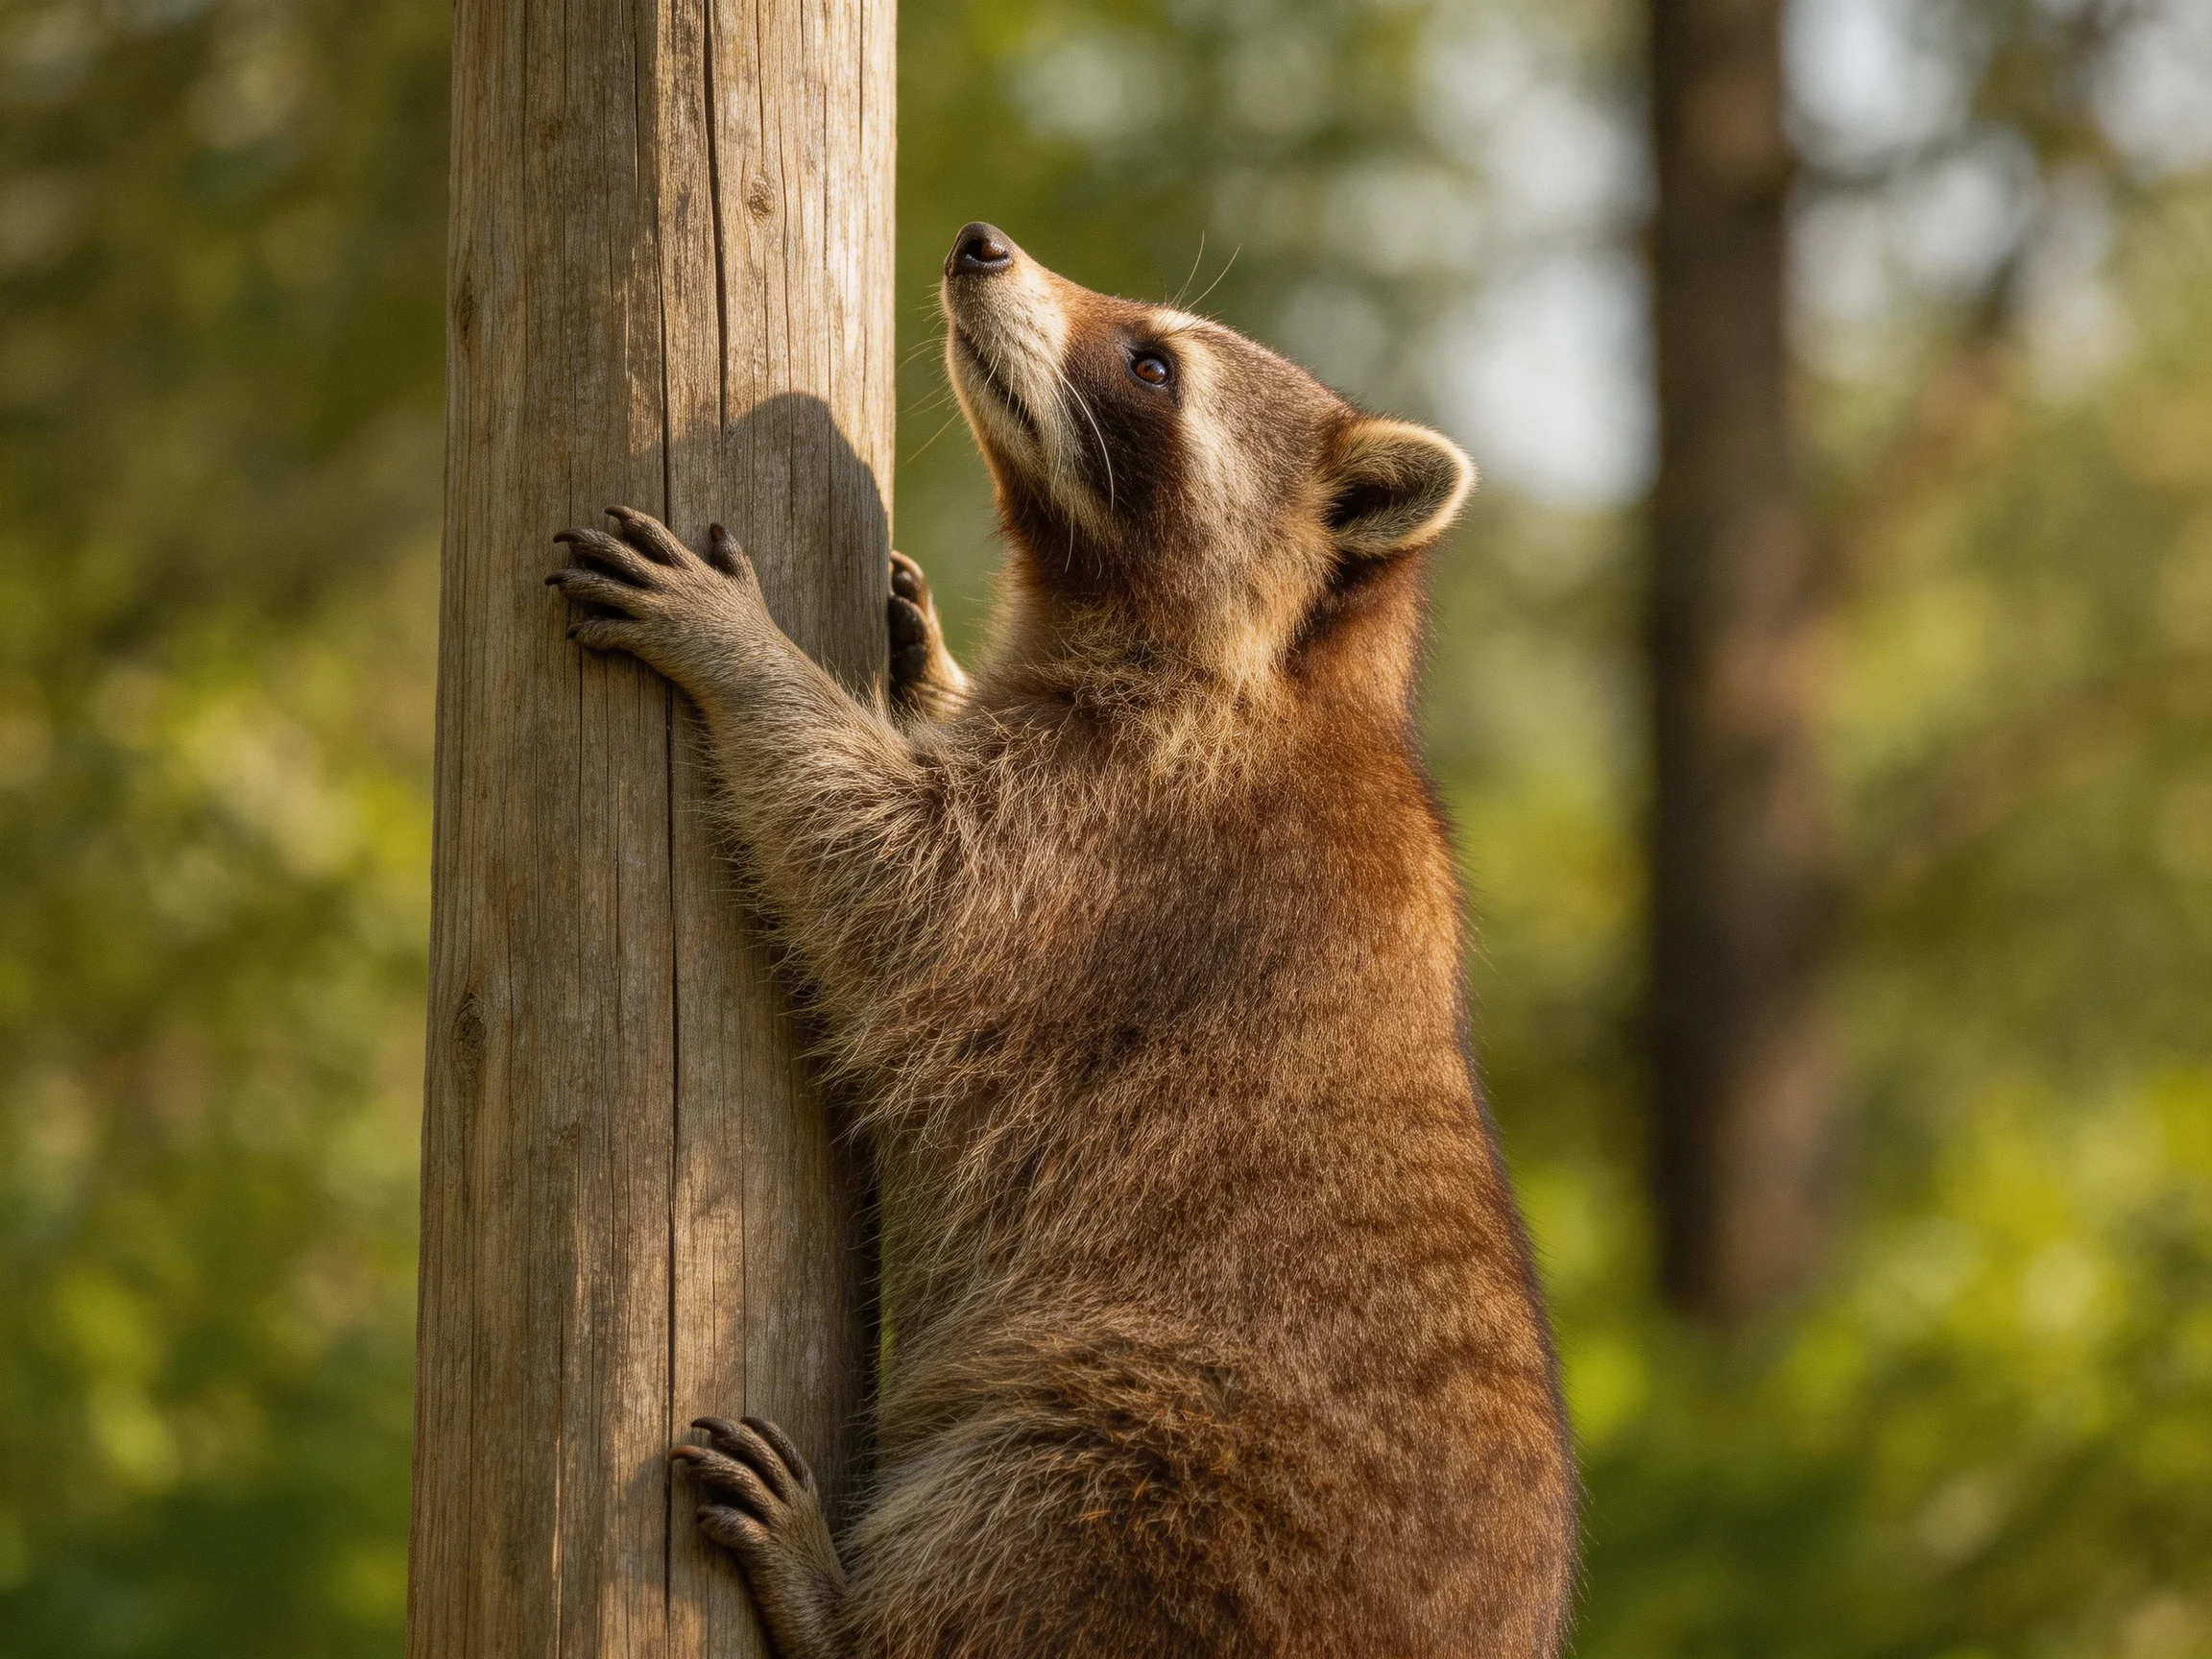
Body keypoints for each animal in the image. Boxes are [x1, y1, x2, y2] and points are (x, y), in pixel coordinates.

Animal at [546, 222, 1577, 1658]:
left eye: (1153, 365)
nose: (983, 243)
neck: (1292, 676)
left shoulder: (1125, 845)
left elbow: (896, 884)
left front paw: (743, 653)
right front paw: (920, 664)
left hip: (1154, 1451)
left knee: (1036, 1509)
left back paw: (839, 1609)